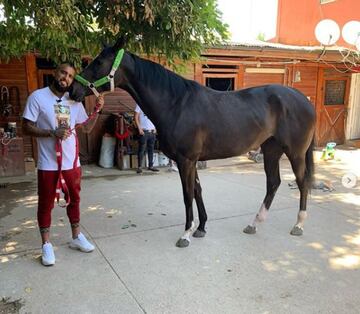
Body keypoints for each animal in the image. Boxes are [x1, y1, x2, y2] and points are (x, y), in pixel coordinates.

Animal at [69, 36, 316, 248]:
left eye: (99, 62)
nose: (72, 90)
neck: (176, 103)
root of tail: (304, 100)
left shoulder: (186, 160)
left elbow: (187, 195)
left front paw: (186, 234)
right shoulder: (191, 160)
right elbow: (197, 191)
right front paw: (201, 228)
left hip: (294, 152)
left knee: (302, 182)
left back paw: (299, 224)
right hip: (271, 149)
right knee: (273, 183)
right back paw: (254, 224)